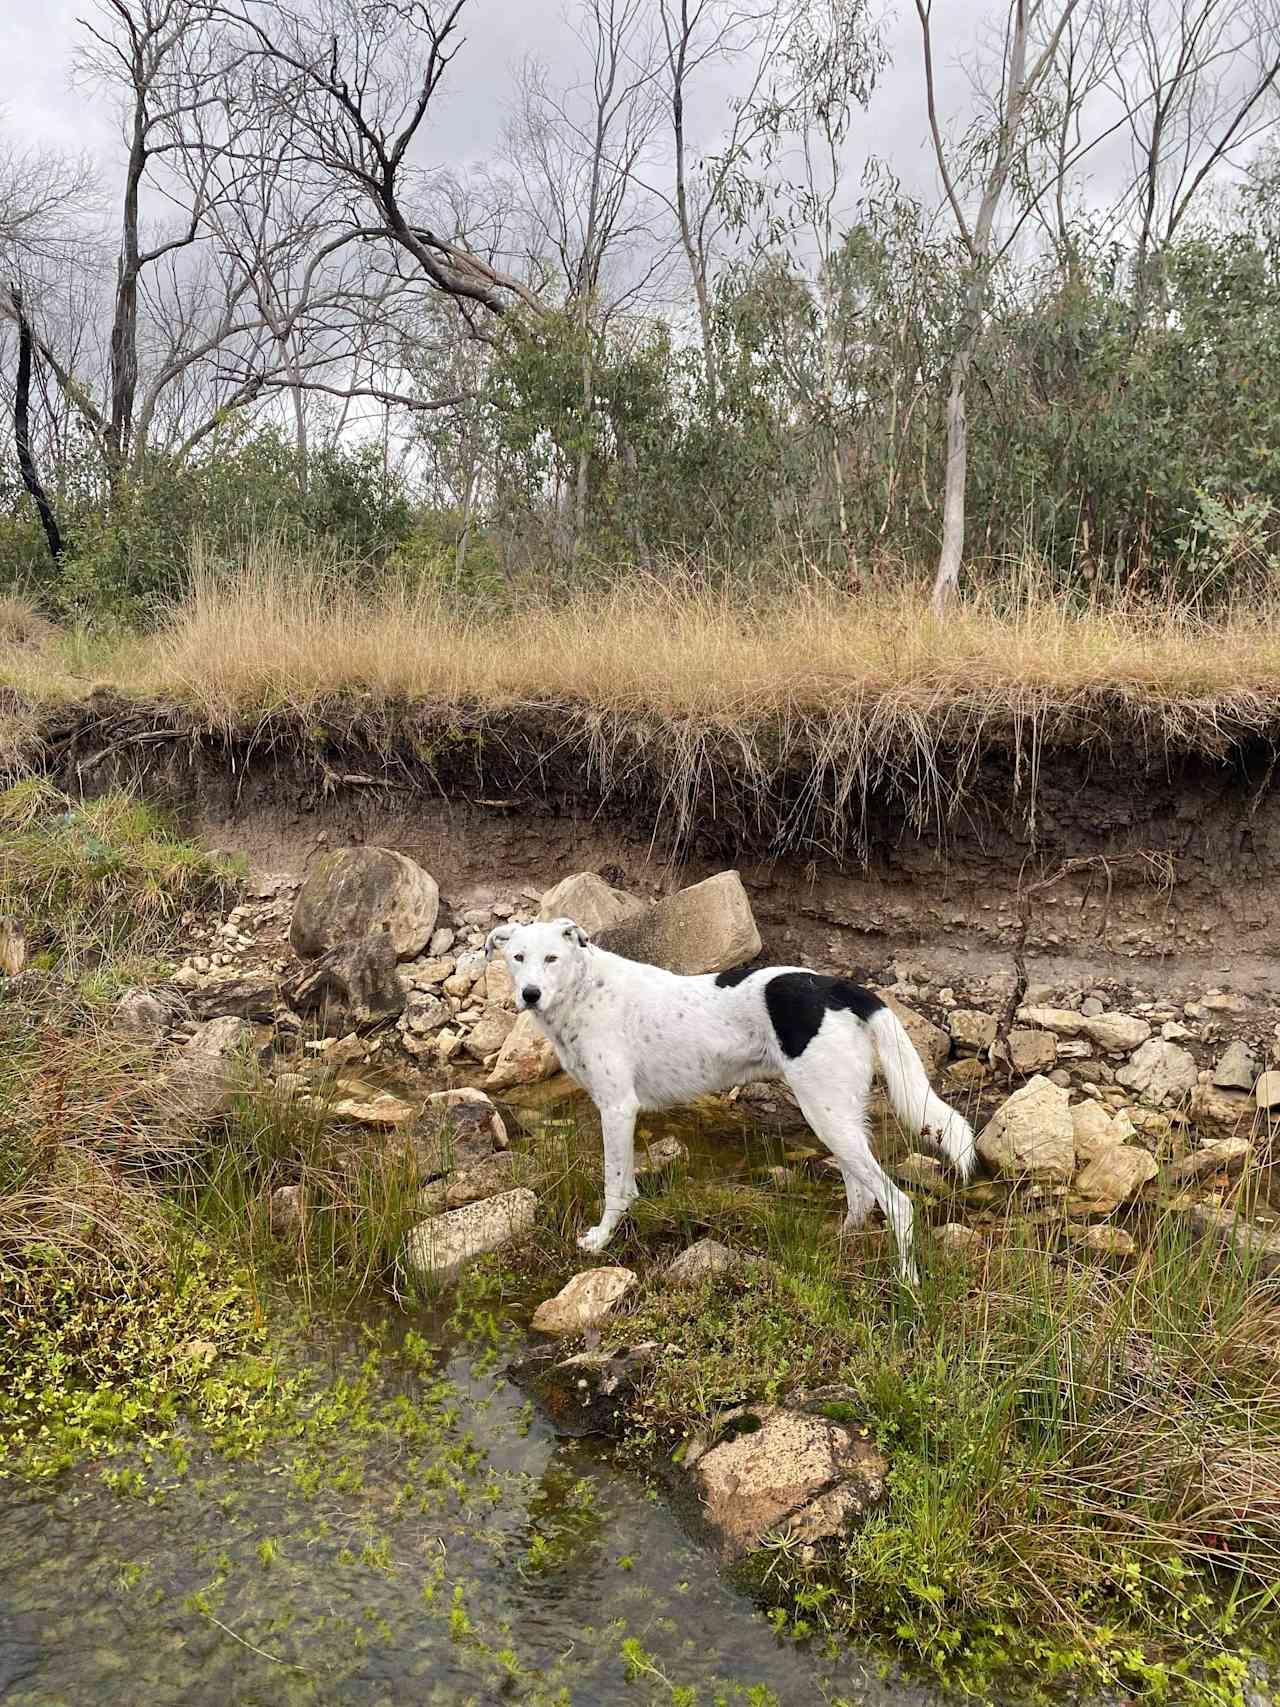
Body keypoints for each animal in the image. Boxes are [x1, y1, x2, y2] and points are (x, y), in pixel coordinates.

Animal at [484, 921, 976, 1283]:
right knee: (861, 1194)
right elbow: (627, 1185)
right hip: (837, 1116)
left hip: (827, 1115)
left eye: (552, 958)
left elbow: (615, 1186)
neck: (584, 988)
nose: (530, 994)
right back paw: (839, 1245)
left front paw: (602, 1240)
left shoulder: (618, 1108)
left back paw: (906, 1280)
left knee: (897, 1203)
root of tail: (836, 986)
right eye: (517, 957)